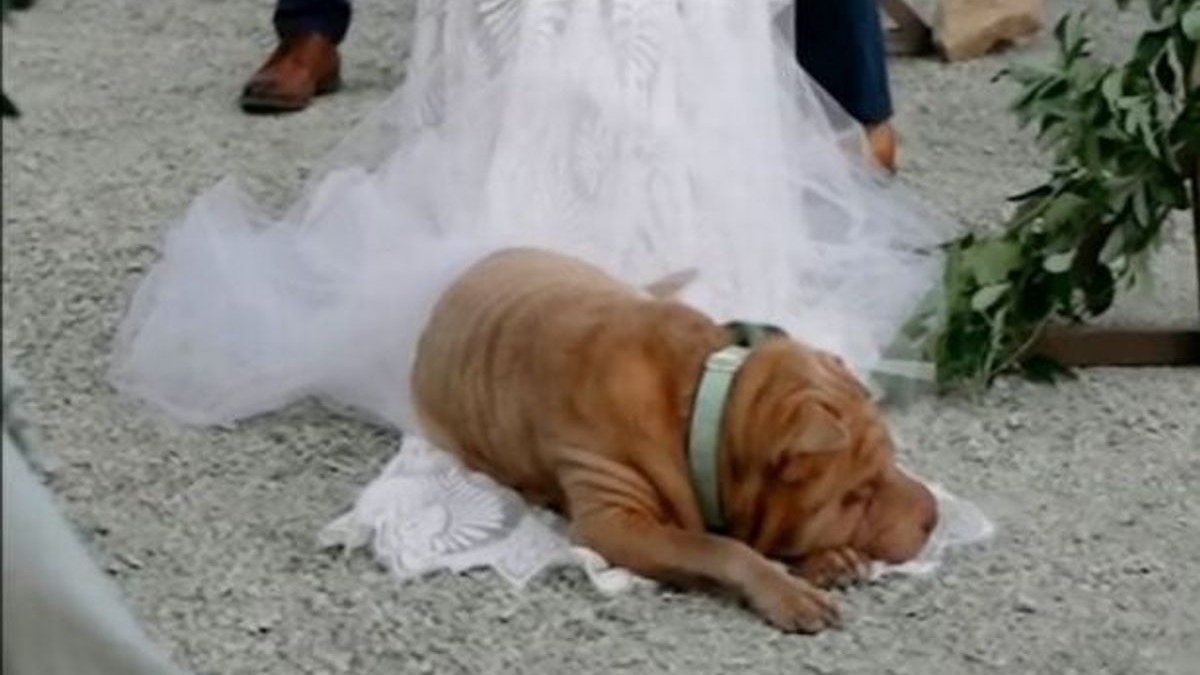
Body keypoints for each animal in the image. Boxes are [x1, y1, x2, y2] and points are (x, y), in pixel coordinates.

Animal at [412, 247, 936, 629]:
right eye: (861, 492)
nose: (934, 516)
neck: (707, 402)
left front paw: (831, 559)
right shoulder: (613, 522)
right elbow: (721, 548)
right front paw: (785, 590)